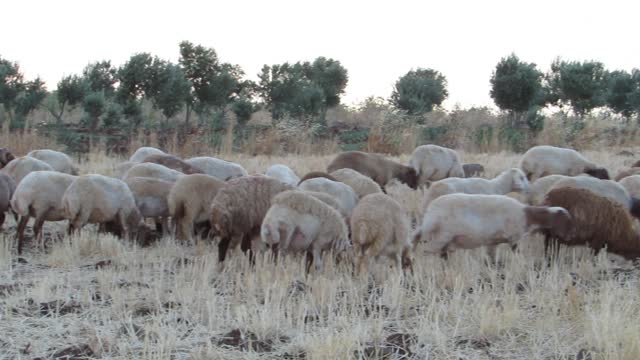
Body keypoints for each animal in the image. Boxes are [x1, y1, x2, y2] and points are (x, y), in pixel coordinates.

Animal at [416, 193, 568, 258]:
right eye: (567, 221)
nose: (570, 236)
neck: (528, 216)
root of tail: (429, 214)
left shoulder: (493, 242)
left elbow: (491, 258)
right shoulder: (515, 238)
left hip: (443, 239)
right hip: (440, 237)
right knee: (426, 252)